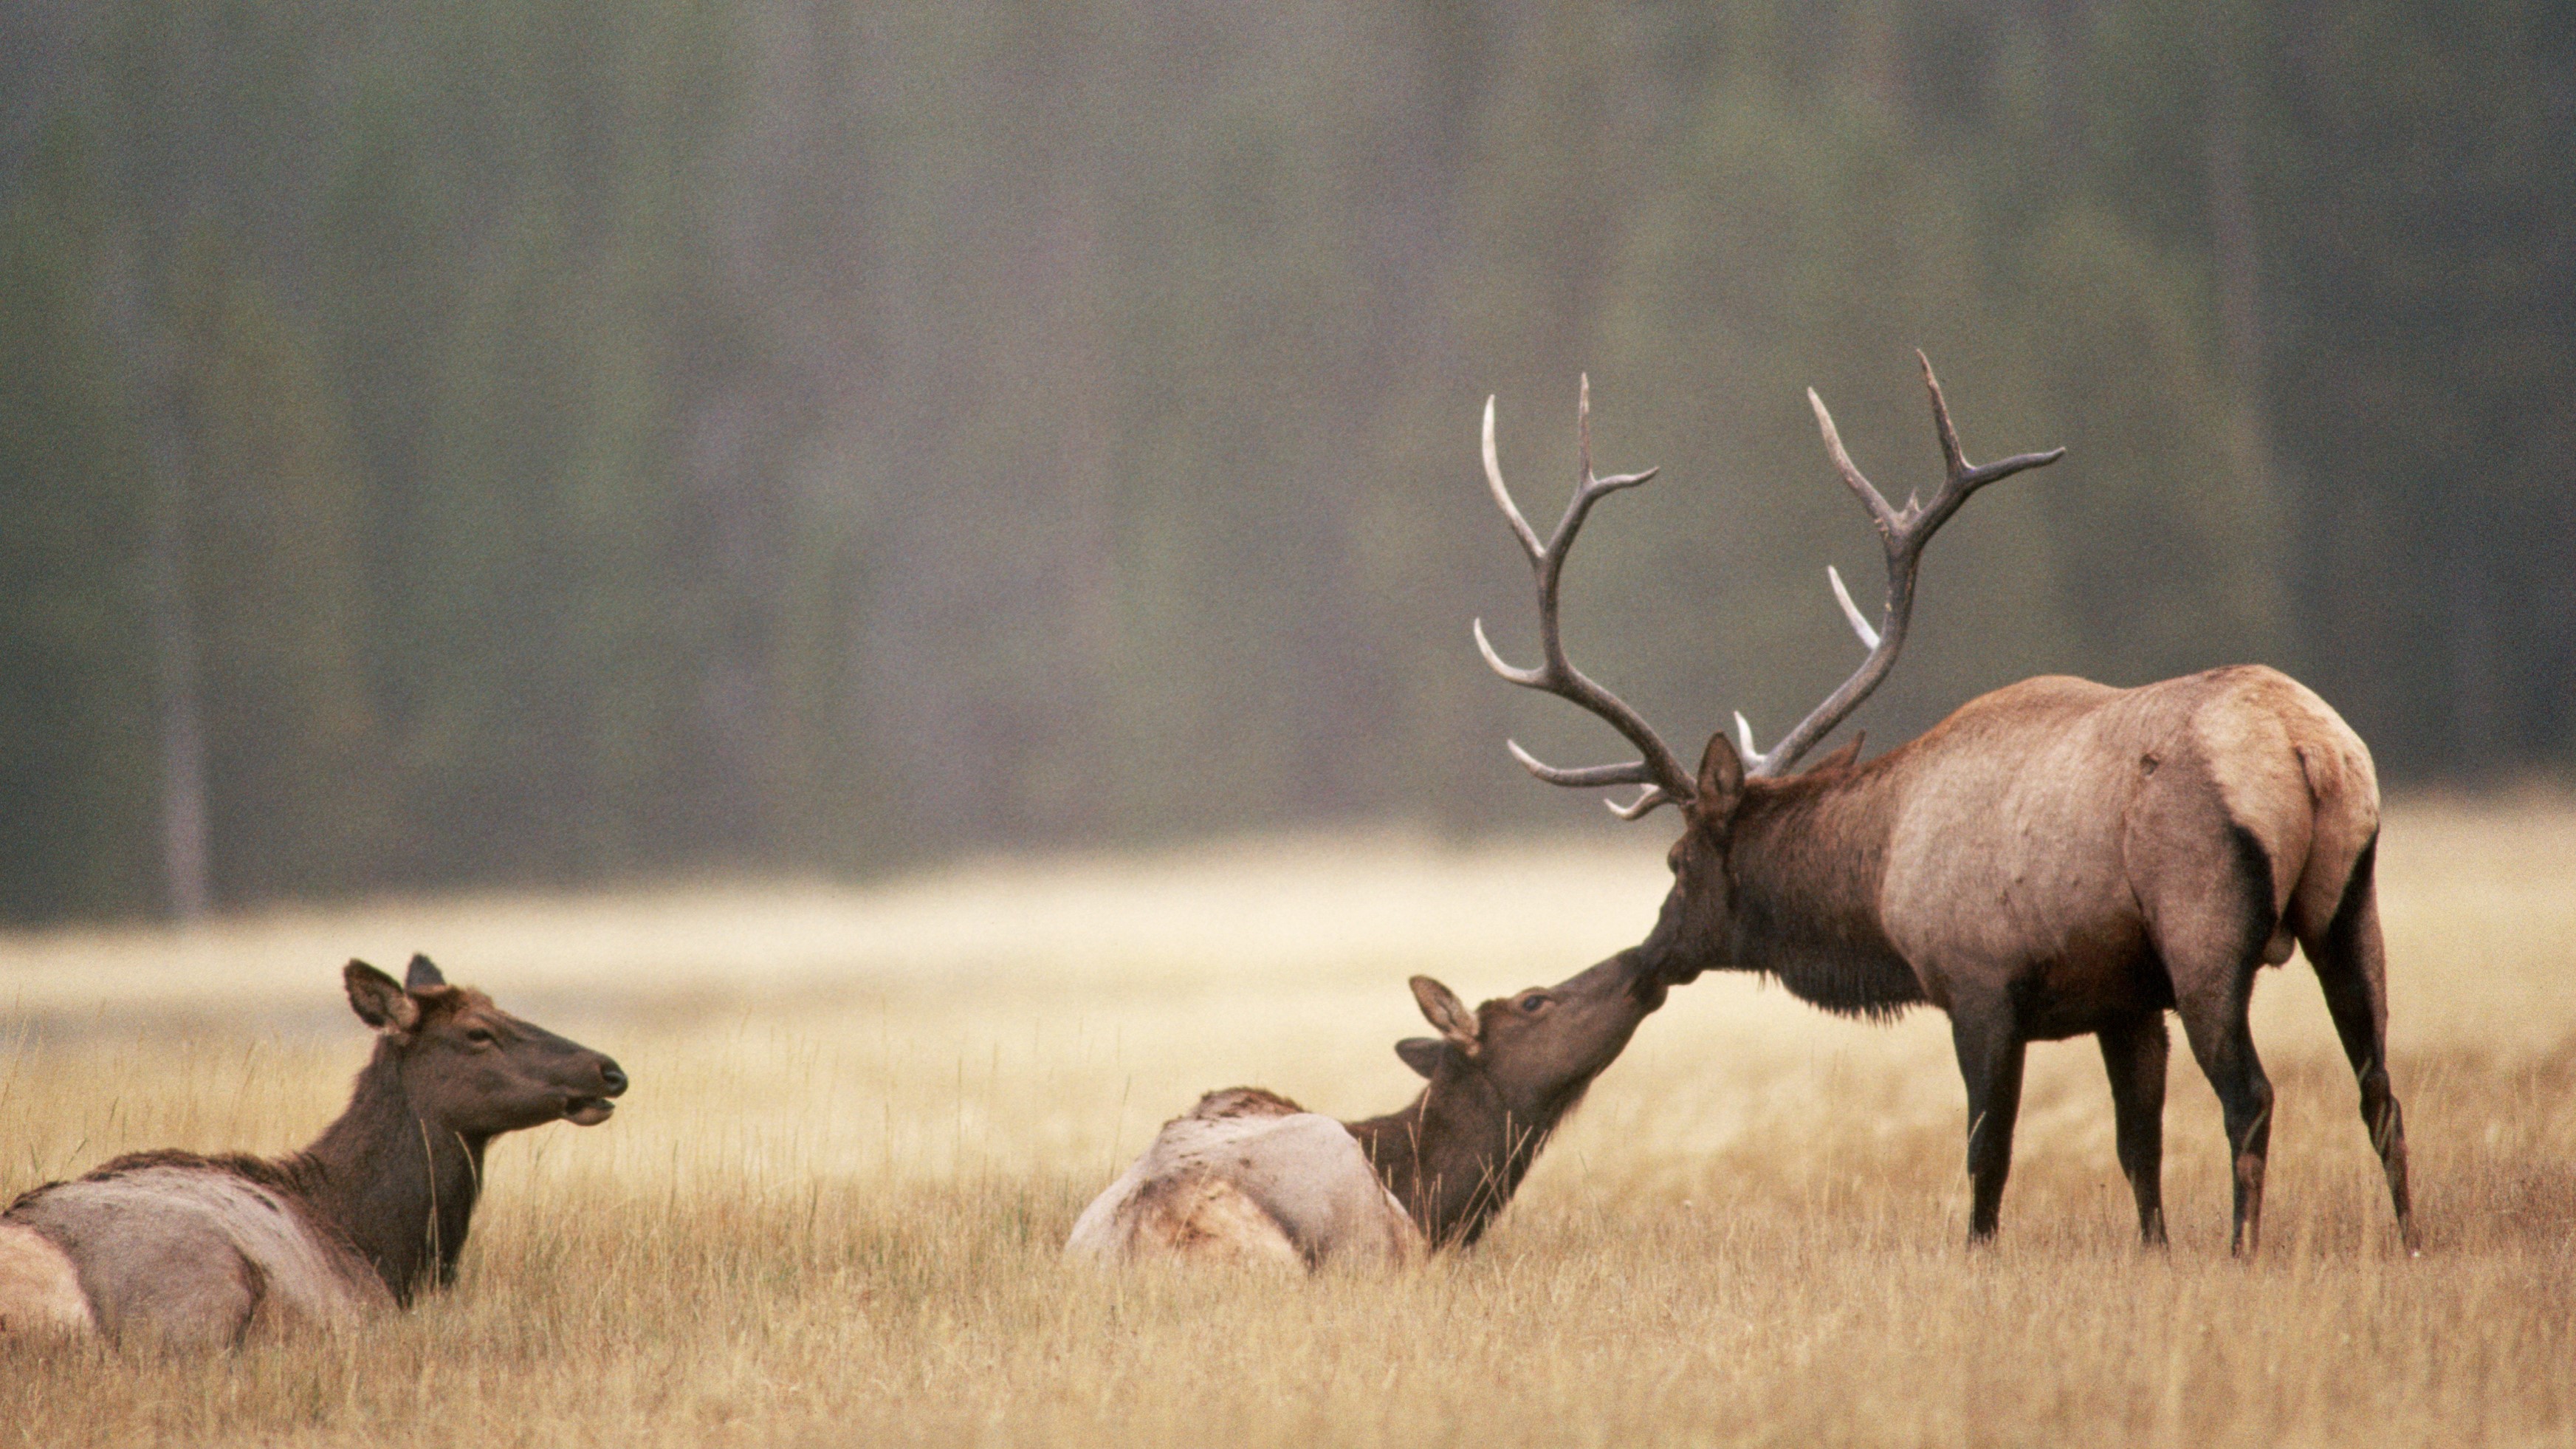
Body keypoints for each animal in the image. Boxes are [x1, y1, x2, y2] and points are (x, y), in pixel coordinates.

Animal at [1471, 358, 2412, 1255]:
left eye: (1677, 860)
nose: (1652, 954)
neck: (1879, 883)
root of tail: (2307, 747)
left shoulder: (1978, 982)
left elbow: (1986, 1154)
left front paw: (1977, 1252)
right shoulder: (2126, 998)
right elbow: (2137, 1148)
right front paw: (2155, 1253)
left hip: (2201, 921)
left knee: (2251, 1094)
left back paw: (2243, 1249)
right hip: (2350, 903)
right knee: (2379, 1089)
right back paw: (2404, 1240)